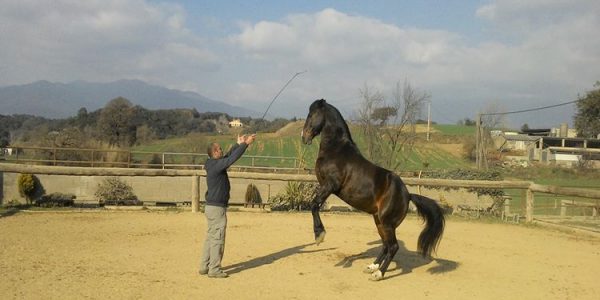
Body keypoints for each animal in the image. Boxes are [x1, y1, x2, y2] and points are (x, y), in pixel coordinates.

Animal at [300, 99, 446, 282]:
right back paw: (372, 267)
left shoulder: (330, 185)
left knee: (393, 246)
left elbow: (314, 205)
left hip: (387, 222)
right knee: (385, 245)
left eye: (312, 114)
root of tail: (408, 195)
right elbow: (314, 205)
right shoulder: (325, 186)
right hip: (379, 221)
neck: (336, 150)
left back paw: (379, 273)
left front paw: (319, 236)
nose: (304, 137)